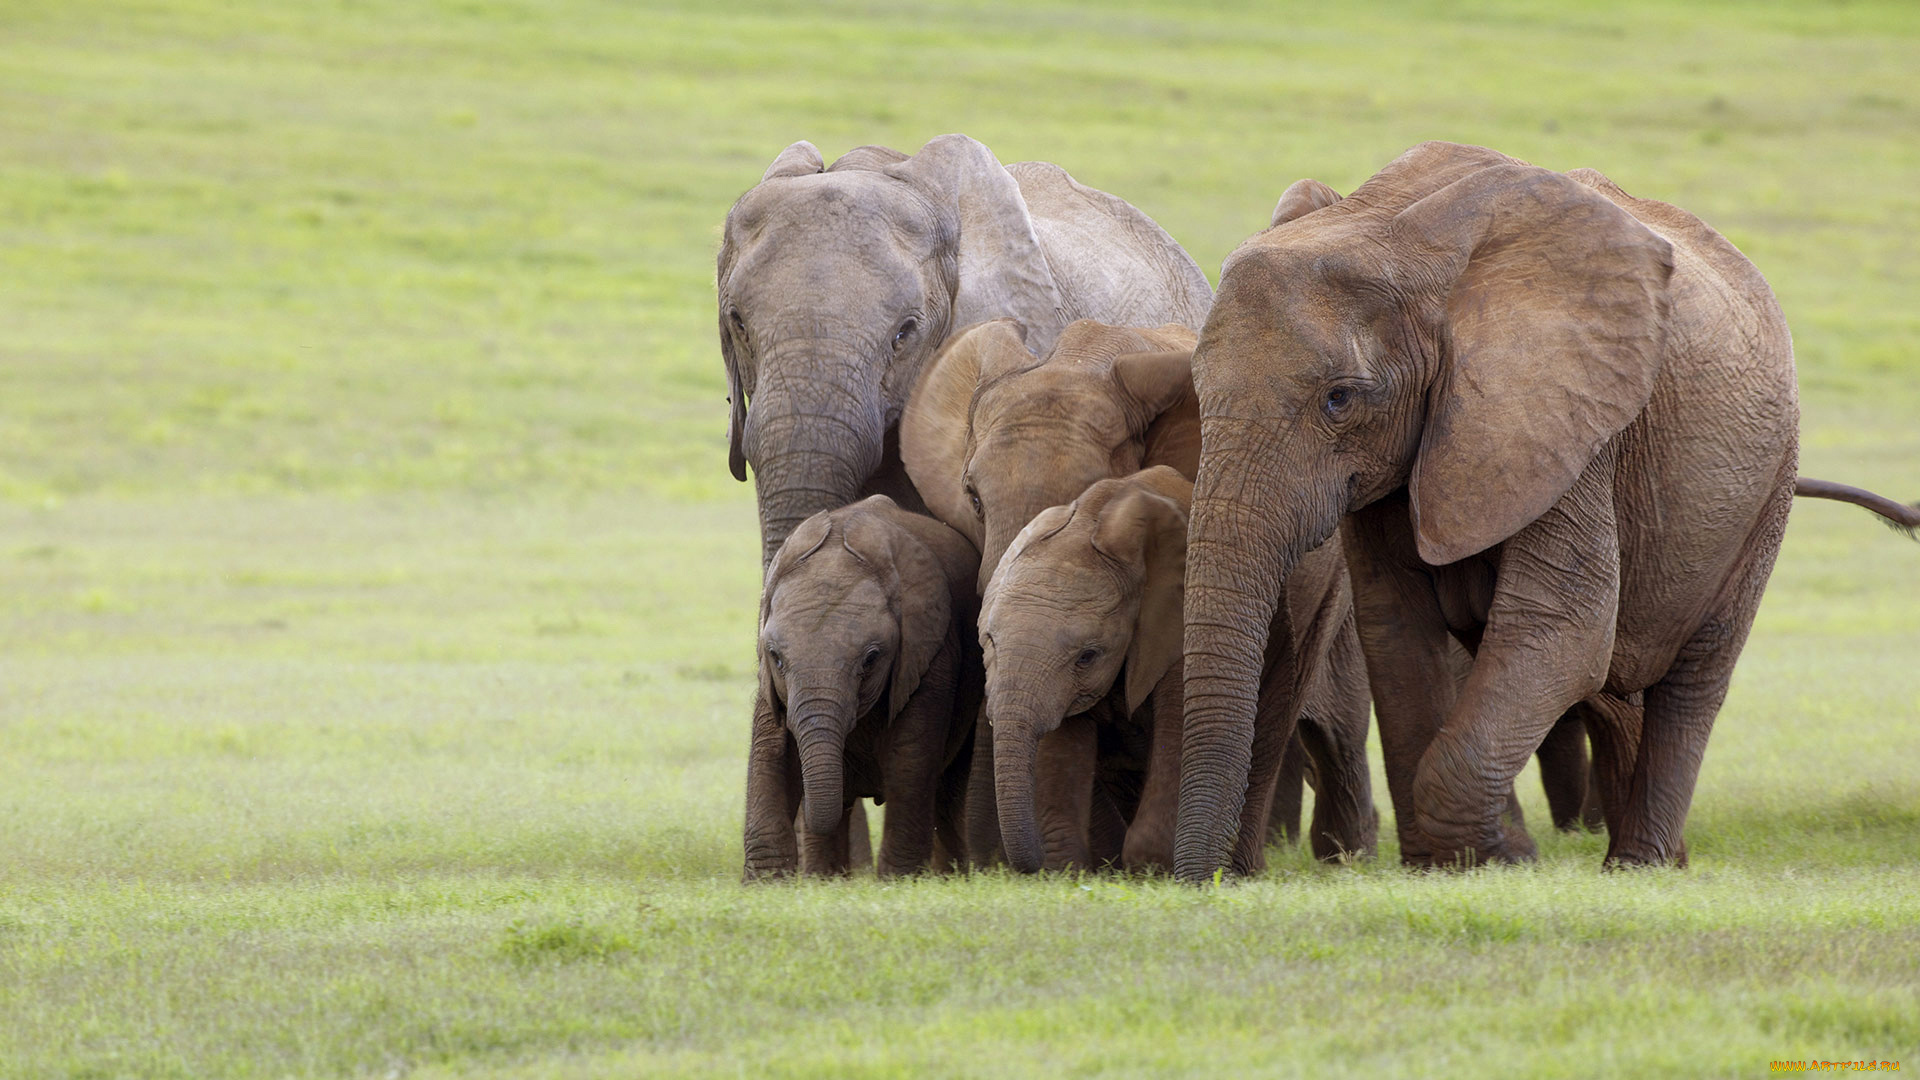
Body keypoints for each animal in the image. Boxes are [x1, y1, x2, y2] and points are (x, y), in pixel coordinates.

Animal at [741, 496, 981, 879]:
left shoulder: (931, 654)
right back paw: (823, 878)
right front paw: (767, 884)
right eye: (776, 657)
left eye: (871, 659)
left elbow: (909, 757)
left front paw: (899, 882)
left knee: (949, 788)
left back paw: (949, 876)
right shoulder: (771, 683)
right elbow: (771, 751)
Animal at [979, 467, 1377, 873]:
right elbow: (1064, 744)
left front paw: (1152, 869)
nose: (1027, 862)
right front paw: (1069, 870)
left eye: (1087, 656)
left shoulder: (1179, 626)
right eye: (989, 640)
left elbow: (1182, 730)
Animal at [1173, 139, 1912, 878]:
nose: (1207, 883)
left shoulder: (1569, 426)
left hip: (1764, 488)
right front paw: (1450, 864)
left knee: (1693, 678)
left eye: (1339, 399)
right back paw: (1654, 863)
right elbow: (1398, 630)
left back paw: (1639, 865)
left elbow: (1562, 627)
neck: (1394, 236)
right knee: (1613, 687)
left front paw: (1494, 857)